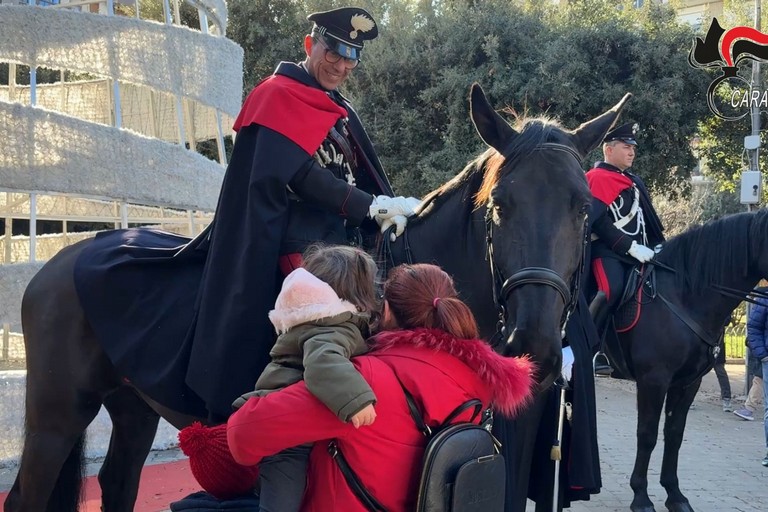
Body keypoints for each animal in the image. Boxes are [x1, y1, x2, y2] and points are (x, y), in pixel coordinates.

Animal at [6, 85, 628, 512]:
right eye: (501, 204)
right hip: (56, 415)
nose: (538, 343)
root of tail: (59, 263)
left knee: (117, 482)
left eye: (583, 209)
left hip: (133, 405)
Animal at [604, 208, 768, 512]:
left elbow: (674, 434)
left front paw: (675, 494)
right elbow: (647, 434)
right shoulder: (653, 380)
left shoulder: (687, 383)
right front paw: (641, 496)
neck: (686, 295)